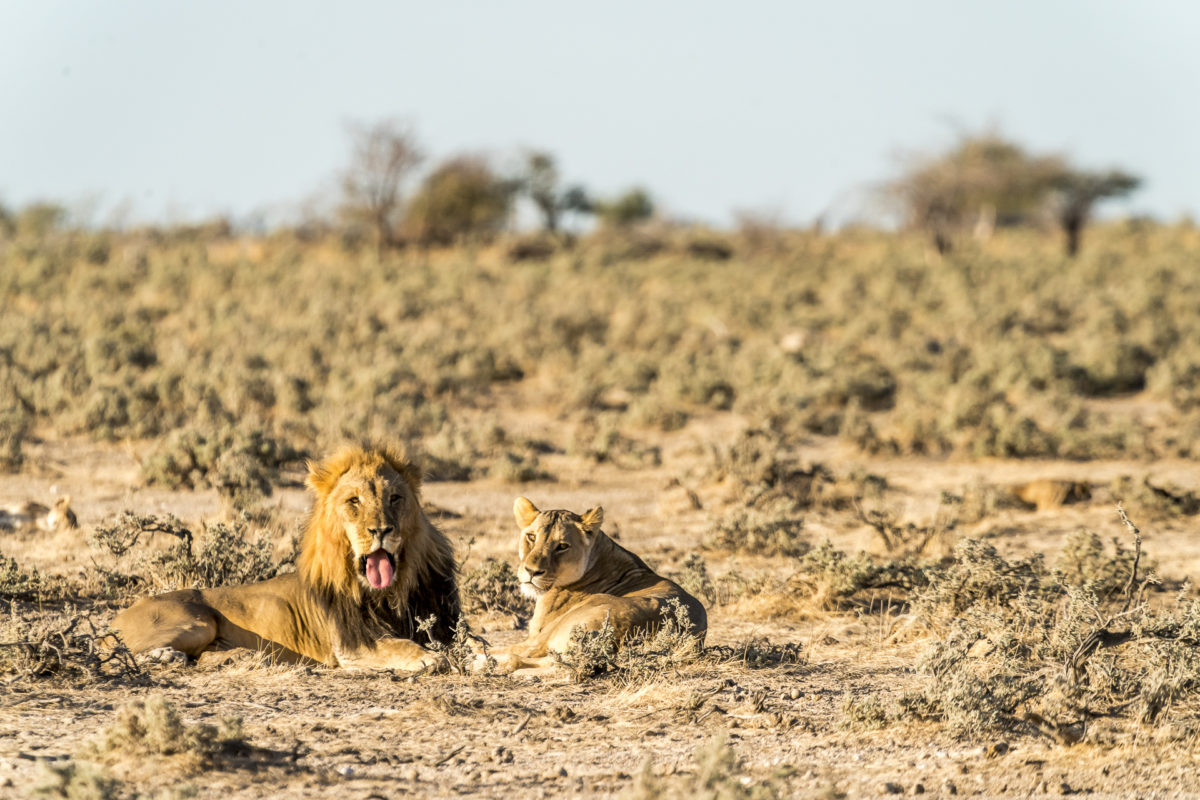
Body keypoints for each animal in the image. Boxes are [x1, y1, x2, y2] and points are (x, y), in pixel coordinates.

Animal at [111, 443, 458, 671]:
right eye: (354, 501)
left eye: (395, 498)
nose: (381, 529)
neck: (391, 593)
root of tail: (119, 616)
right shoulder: (353, 646)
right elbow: (397, 644)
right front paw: (429, 658)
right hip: (198, 622)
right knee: (115, 651)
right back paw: (166, 656)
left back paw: (244, 656)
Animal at [484, 501, 705, 676]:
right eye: (531, 537)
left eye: (562, 546)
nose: (532, 571)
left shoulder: (536, 636)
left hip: (559, 627)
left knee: (519, 656)